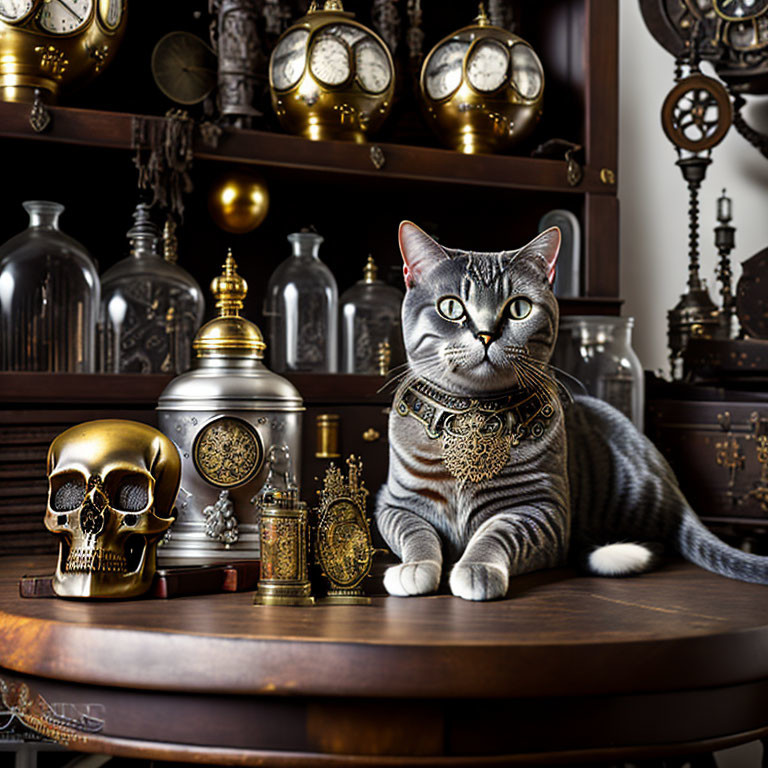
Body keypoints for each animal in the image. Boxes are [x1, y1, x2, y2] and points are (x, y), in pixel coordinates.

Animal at [376, 220, 768, 600]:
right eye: (451, 307)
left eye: (519, 308)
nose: (486, 334)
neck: (475, 409)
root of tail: (672, 485)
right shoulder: (394, 503)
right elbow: (415, 532)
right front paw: (415, 566)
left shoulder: (542, 509)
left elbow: (495, 533)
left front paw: (476, 568)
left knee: (657, 542)